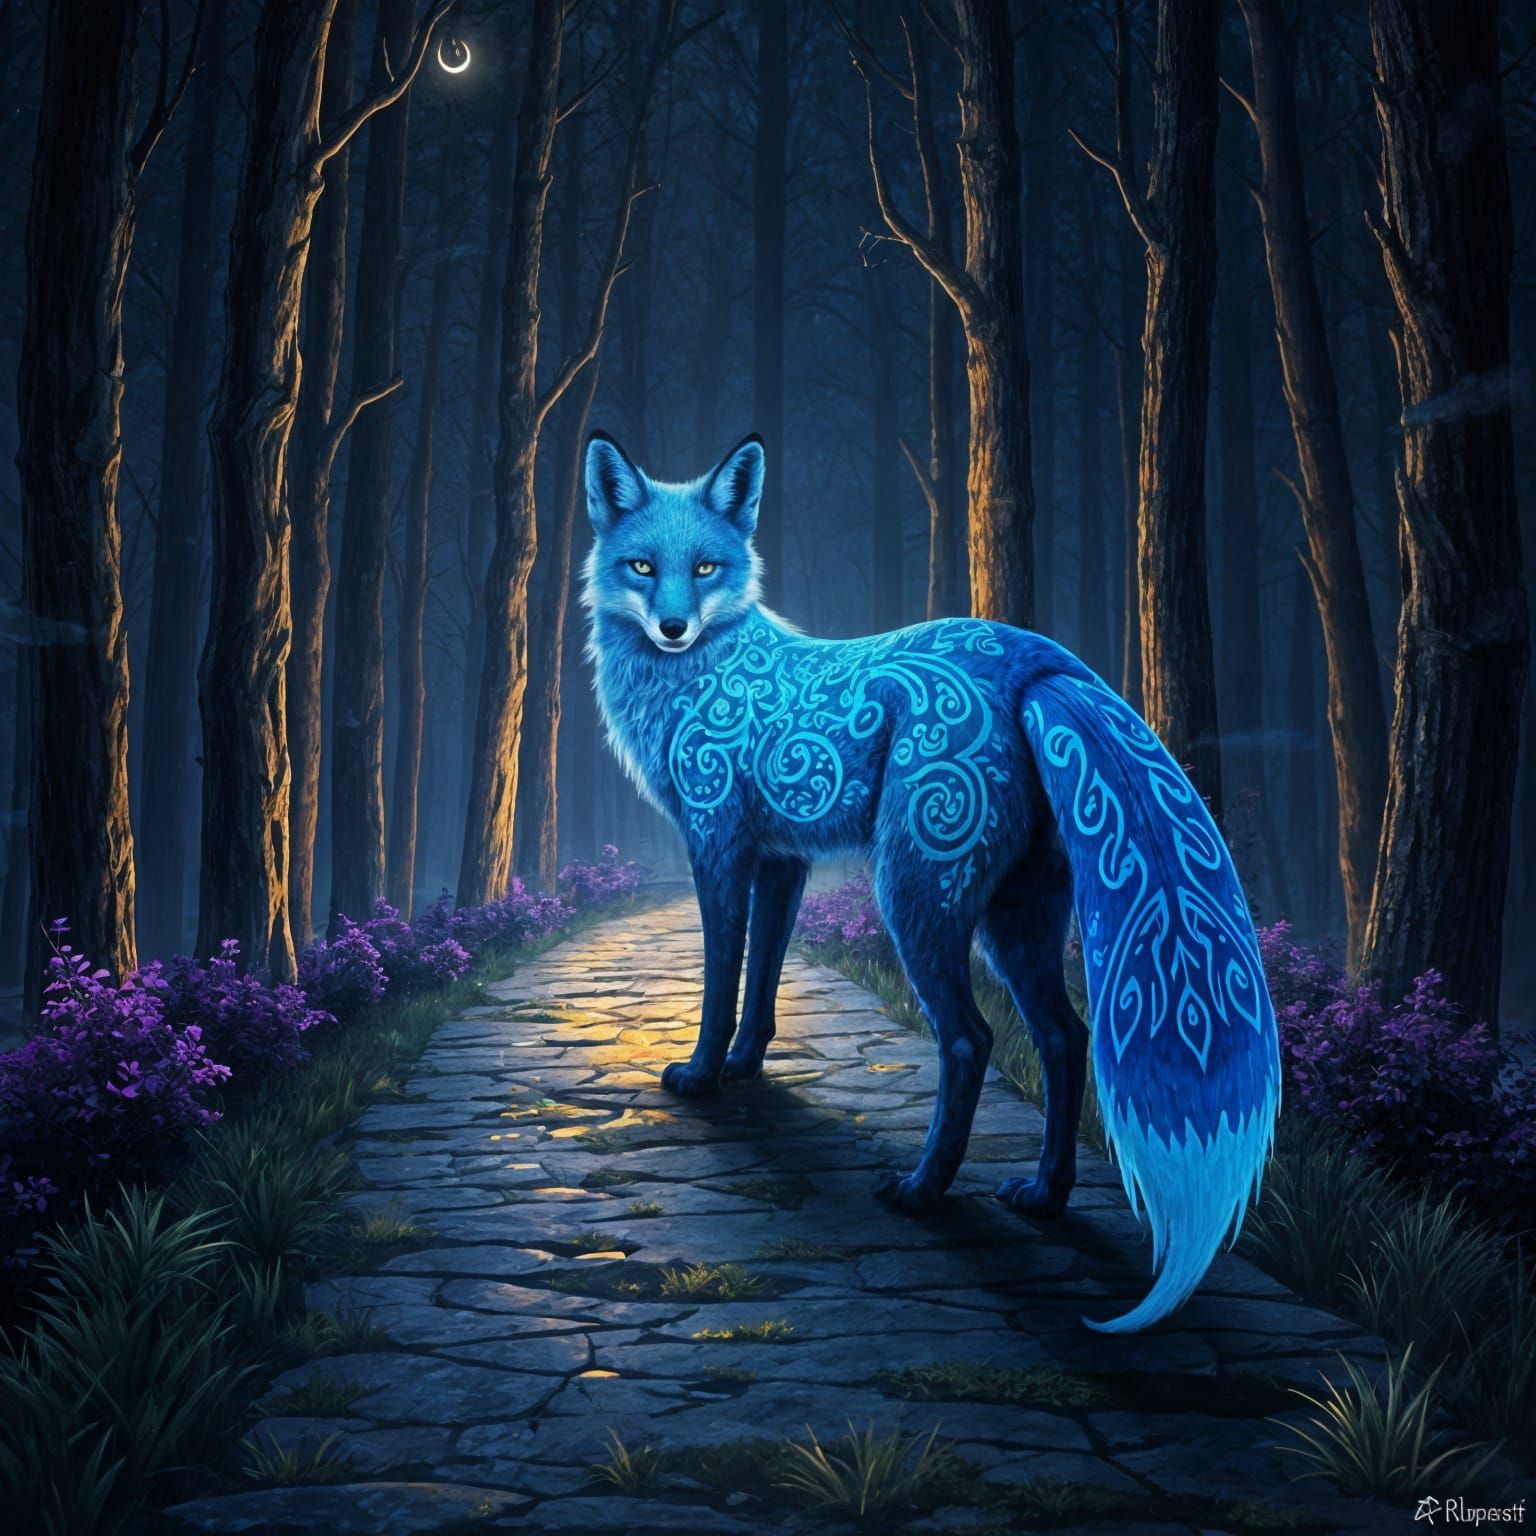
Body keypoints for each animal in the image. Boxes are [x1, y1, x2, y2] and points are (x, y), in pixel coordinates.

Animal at [581, 430, 1281, 1333]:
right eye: (641, 566)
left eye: (705, 568)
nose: (673, 627)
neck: (702, 675)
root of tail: (1041, 660)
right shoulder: (782, 860)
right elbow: (763, 981)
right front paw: (744, 1066)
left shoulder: (718, 847)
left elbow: (718, 981)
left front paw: (701, 1075)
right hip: (1018, 922)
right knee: (1066, 1034)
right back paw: (1046, 1195)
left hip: (917, 897)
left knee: (971, 1039)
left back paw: (924, 1191)